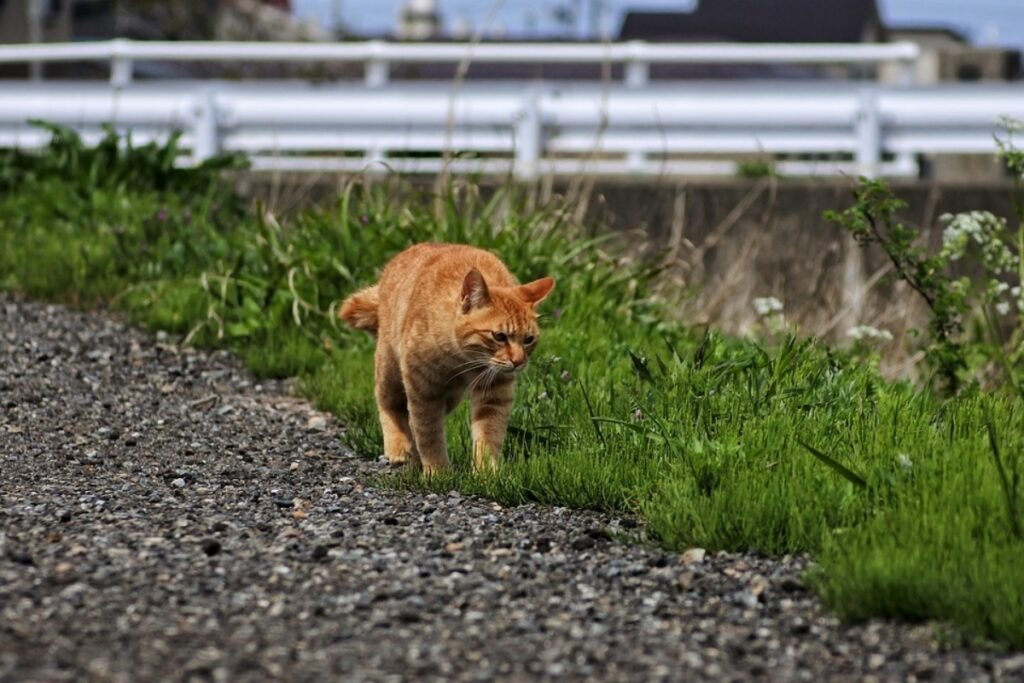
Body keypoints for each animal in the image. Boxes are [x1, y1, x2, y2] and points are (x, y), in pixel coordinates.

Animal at [339, 244, 557, 475]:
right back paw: (399, 447)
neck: (462, 359)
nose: (518, 361)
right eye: (499, 336)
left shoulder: (496, 392)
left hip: (450, 396)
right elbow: (429, 433)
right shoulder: (424, 390)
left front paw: (486, 472)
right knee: (388, 403)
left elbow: (489, 435)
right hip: (390, 368)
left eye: (528, 340)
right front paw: (438, 471)